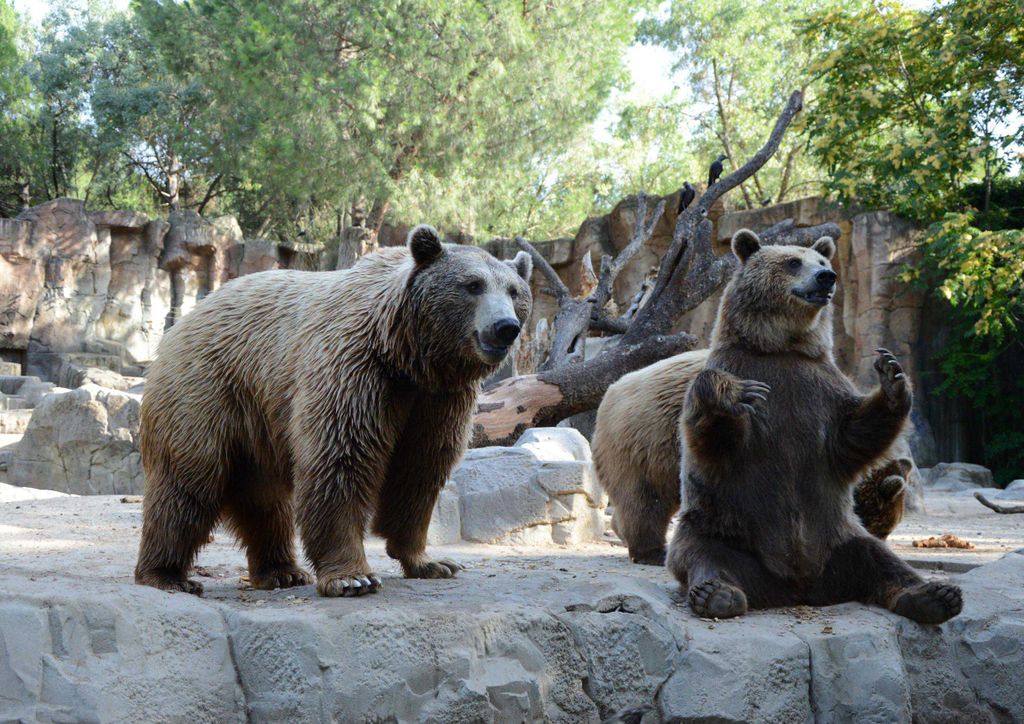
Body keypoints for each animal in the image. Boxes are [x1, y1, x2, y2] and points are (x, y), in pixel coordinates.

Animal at [134, 225, 533, 597]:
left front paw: (431, 562)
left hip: (257, 421)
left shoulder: (438, 399)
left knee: (265, 500)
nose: (505, 327)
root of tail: (184, 321)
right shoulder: (355, 370)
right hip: (207, 392)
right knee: (188, 483)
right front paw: (353, 577)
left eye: (513, 291)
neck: (407, 354)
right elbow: (342, 458)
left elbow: (420, 469)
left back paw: (281, 571)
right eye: (473, 285)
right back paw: (167, 574)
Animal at [663, 228, 961, 623]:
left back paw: (935, 595)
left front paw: (892, 375)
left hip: (839, 537)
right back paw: (716, 594)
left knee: (881, 560)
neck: (783, 348)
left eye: (822, 260)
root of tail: (797, 587)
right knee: (703, 554)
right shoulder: (745, 370)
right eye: (793, 262)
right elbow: (715, 441)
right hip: (723, 527)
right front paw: (733, 395)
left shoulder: (820, 388)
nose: (826, 277)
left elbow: (853, 434)